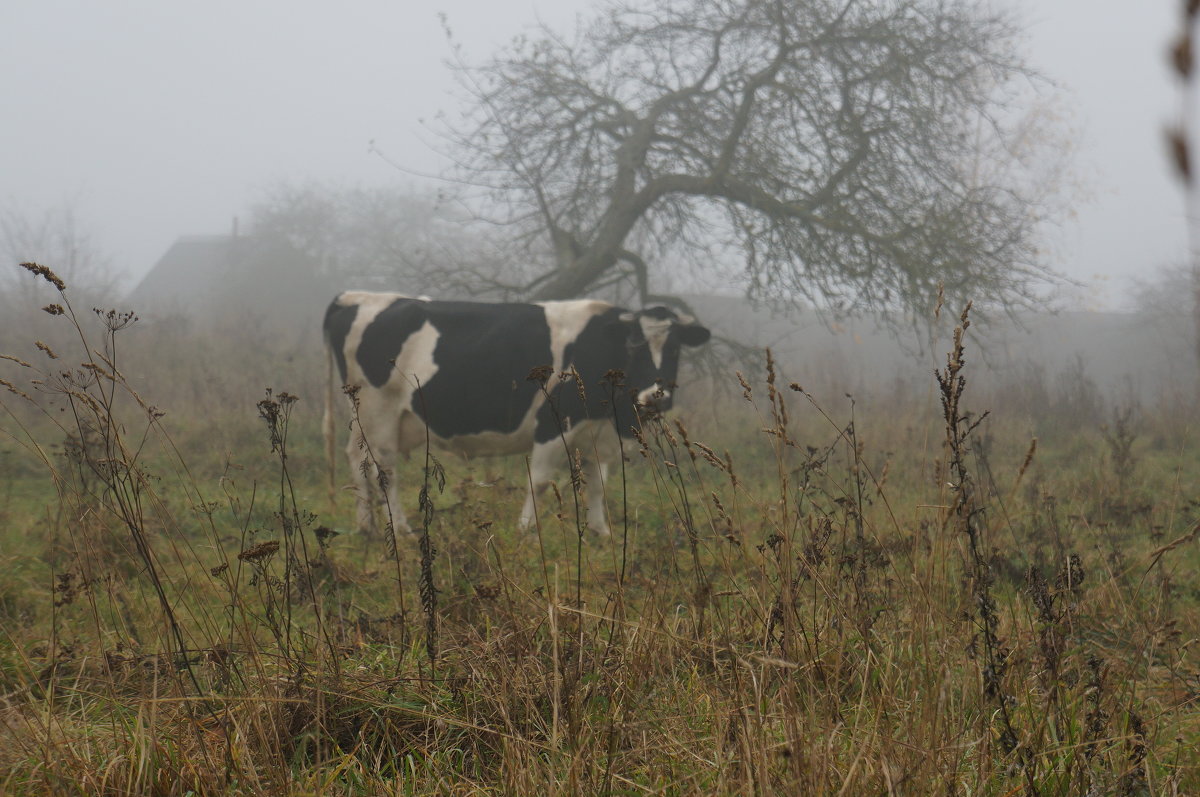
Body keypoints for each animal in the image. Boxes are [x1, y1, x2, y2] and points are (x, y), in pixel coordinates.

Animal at [324, 289, 705, 537]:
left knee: (358, 459)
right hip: (381, 411)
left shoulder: (597, 433)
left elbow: (598, 483)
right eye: (635, 347)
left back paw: (367, 527)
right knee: (385, 468)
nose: (654, 396)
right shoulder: (554, 423)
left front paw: (601, 532)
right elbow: (540, 481)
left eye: (675, 349)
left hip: (363, 417)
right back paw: (400, 528)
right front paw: (527, 529)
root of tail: (355, 295)